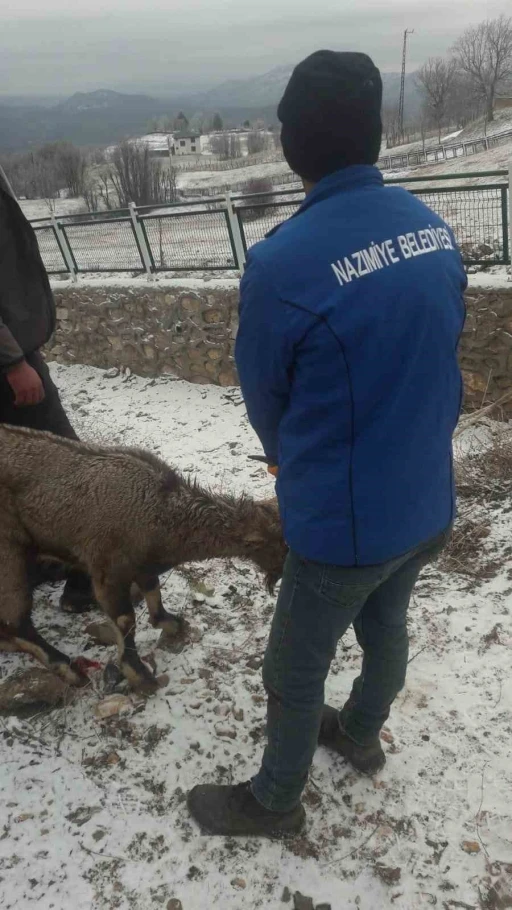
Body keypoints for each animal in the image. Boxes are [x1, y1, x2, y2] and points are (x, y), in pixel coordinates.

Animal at [0, 426, 288, 692]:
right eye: (284, 545)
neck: (160, 512)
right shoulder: (107, 572)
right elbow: (125, 620)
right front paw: (138, 673)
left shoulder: (143, 566)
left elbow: (153, 590)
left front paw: (169, 622)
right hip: (10, 555)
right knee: (17, 622)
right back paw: (69, 668)